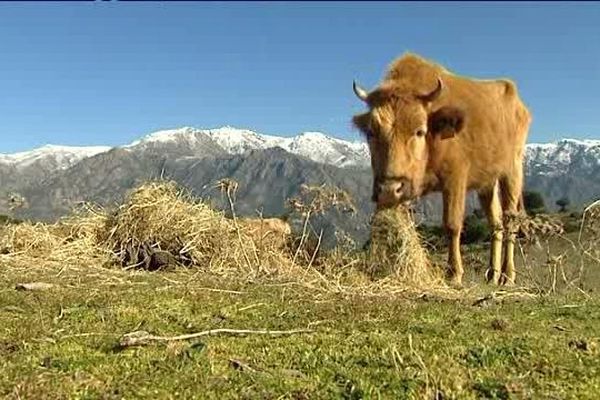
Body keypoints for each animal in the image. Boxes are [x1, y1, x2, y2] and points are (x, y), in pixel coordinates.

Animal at [352, 53, 528, 286]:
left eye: (419, 131)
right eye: (371, 132)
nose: (390, 188)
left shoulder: (455, 179)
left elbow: (452, 224)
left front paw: (454, 273)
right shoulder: (404, 188)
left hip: (512, 172)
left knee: (510, 222)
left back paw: (508, 276)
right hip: (487, 183)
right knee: (496, 223)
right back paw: (492, 274)